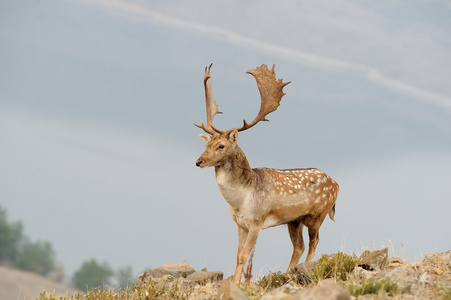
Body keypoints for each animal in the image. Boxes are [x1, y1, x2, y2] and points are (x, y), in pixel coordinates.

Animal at [194, 62, 340, 284]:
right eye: (207, 144)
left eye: (221, 146)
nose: (198, 161)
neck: (240, 200)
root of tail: (337, 184)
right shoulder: (240, 224)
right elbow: (238, 255)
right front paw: (235, 283)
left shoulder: (257, 221)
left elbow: (244, 256)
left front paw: (238, 285)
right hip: (294, 221)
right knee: (299, 246)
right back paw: (288, 273)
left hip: (318, 215)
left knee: (314, 243)